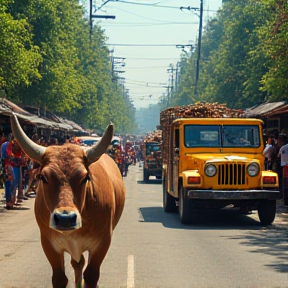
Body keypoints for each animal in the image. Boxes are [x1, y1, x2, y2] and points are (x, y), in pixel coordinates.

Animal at [10, 115, 125, 288]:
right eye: (43, 177)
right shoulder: (48, 243)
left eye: (85, 177)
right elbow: (60, 278)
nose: (65, 219)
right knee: (77, 263)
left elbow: (91, 276)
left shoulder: (103, 242)